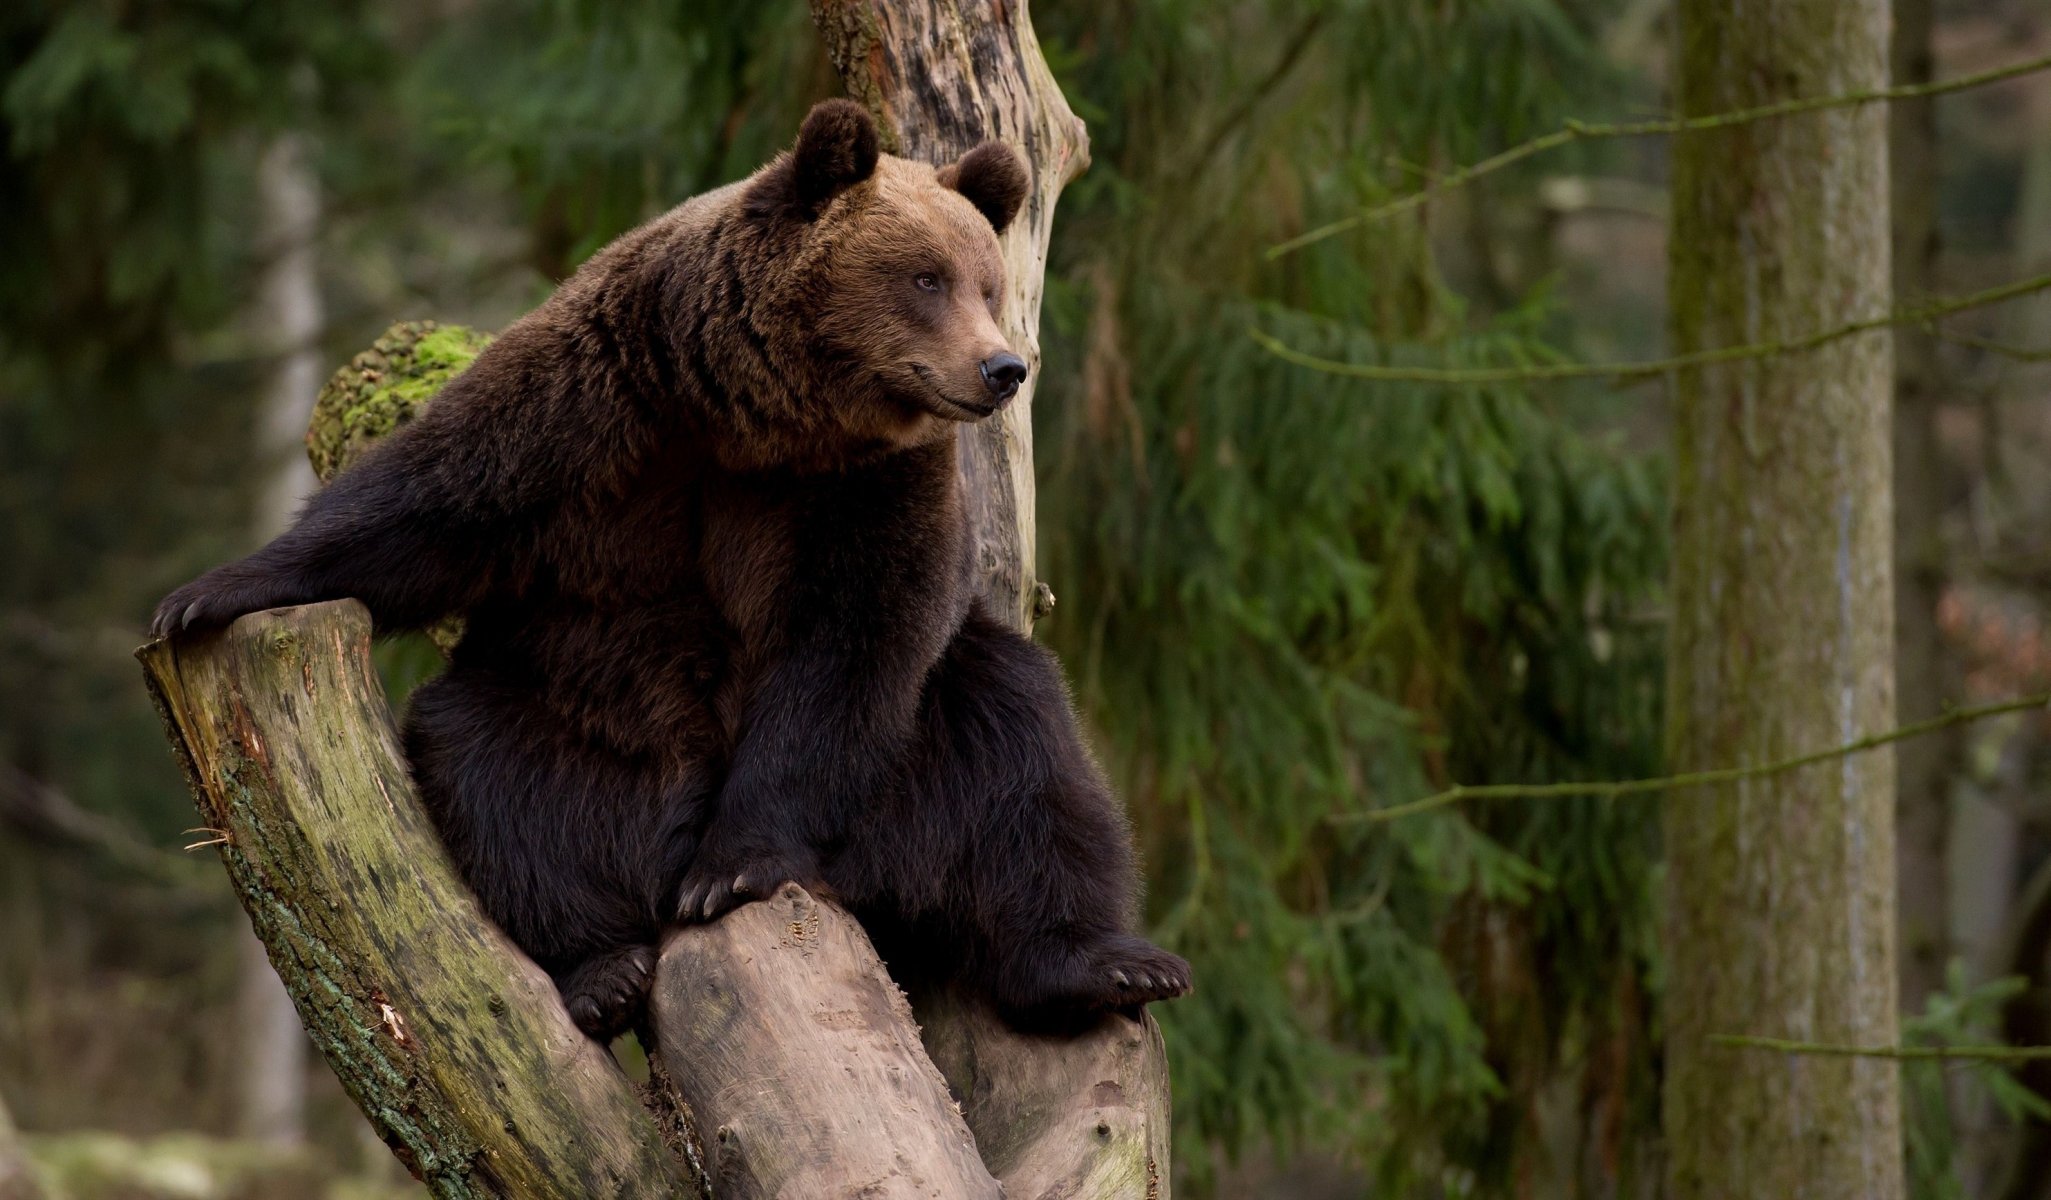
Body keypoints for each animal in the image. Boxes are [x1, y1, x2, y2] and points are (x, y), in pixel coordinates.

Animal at [151, 98, 1197, 1033]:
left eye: (987, 284)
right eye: (925, 278)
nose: (1000, 369)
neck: (756, 416)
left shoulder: (869, 489)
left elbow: (852, 643)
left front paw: (732, 863)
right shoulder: (600, 401)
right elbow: (428, 507)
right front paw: (206, 594)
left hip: (910, 764)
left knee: (1026, 759)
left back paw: (1104, 964)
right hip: (578, 718)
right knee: (488, 771)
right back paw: (602, 967)